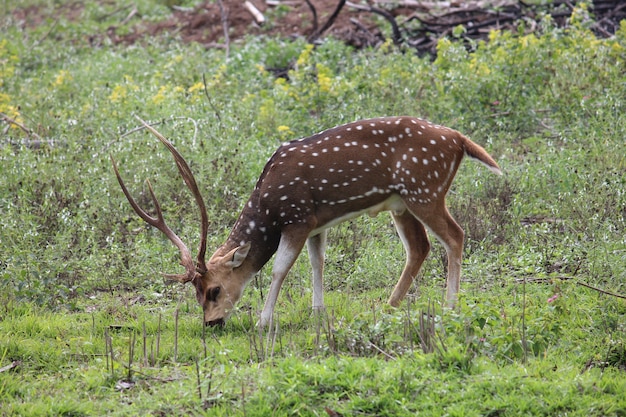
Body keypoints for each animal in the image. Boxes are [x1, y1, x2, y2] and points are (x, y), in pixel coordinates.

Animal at [109, 115, 500, 326]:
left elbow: (280, 268)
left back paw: (449, 306)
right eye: (195, 293)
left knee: (455, 236)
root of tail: (459, 140)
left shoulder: (297, 217)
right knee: (420, 247)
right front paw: (318, 311)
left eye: (213, 290)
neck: (269, 207)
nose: (211, 323)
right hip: (401, 203)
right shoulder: (316, 222)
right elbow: (317, 262)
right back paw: (388, 306)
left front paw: (264, 320)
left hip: (424, 189)